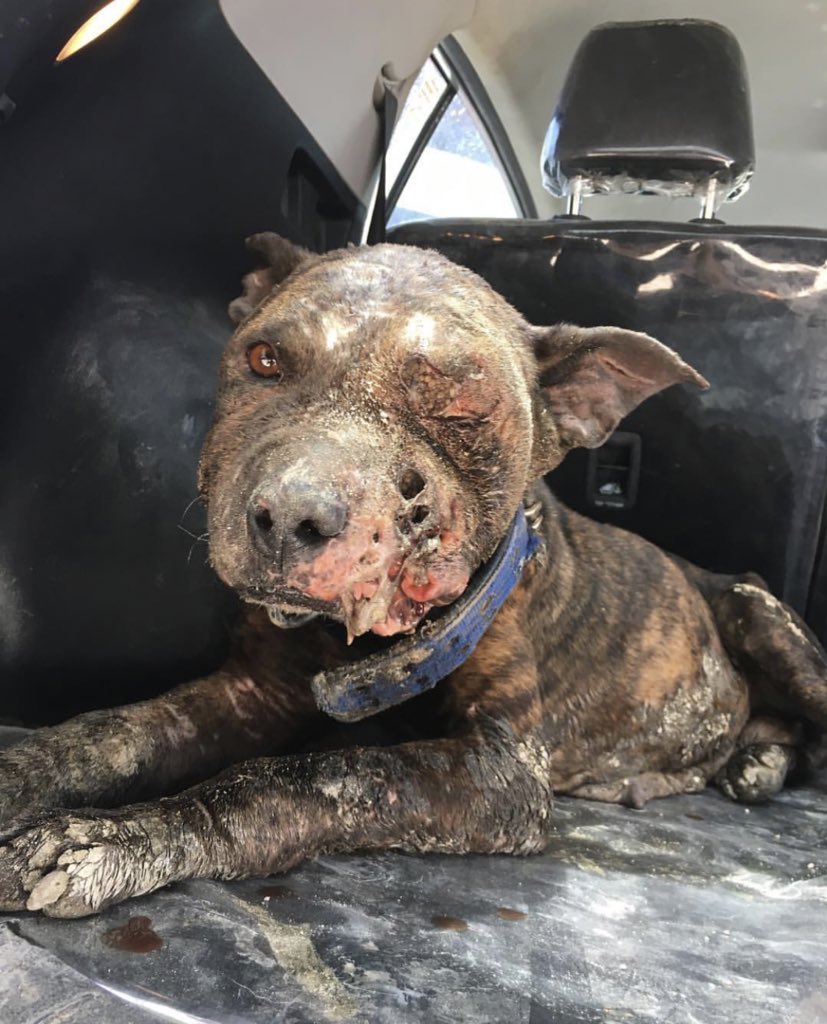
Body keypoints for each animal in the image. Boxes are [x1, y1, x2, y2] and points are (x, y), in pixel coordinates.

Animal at [0, 234, 825, 918]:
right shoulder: (249, 693)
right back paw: (756, 760)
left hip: (759, 614)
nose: (292, 512)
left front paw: (120, 838)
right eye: (264, 359)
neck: (358, 647)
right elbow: (111, 733)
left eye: (466, 409)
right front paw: (25, 774)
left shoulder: (499, 771)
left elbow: (304, 777)